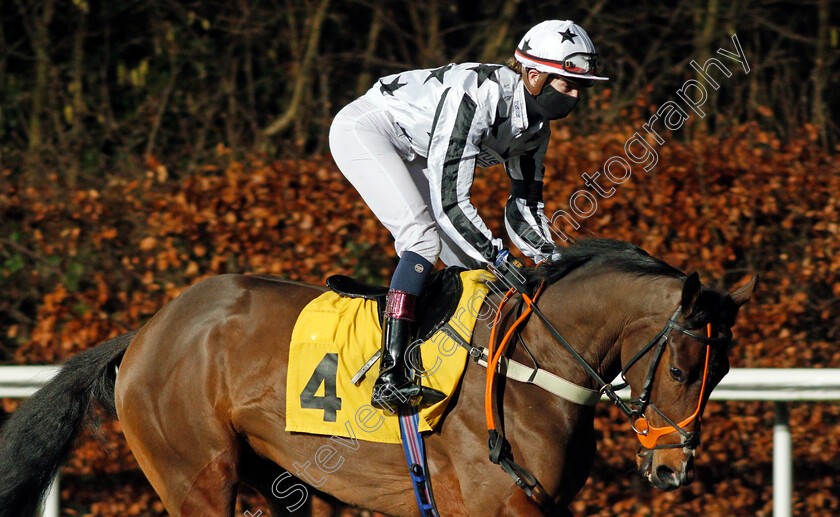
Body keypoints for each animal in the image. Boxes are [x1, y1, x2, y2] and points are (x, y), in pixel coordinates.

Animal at [0, 239, 756, 516]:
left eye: (721, 372)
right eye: (682, 367)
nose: (670, 470)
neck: (527, 366)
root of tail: (147, 332)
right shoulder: (490, 509)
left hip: (281, 481)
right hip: (195, 478)